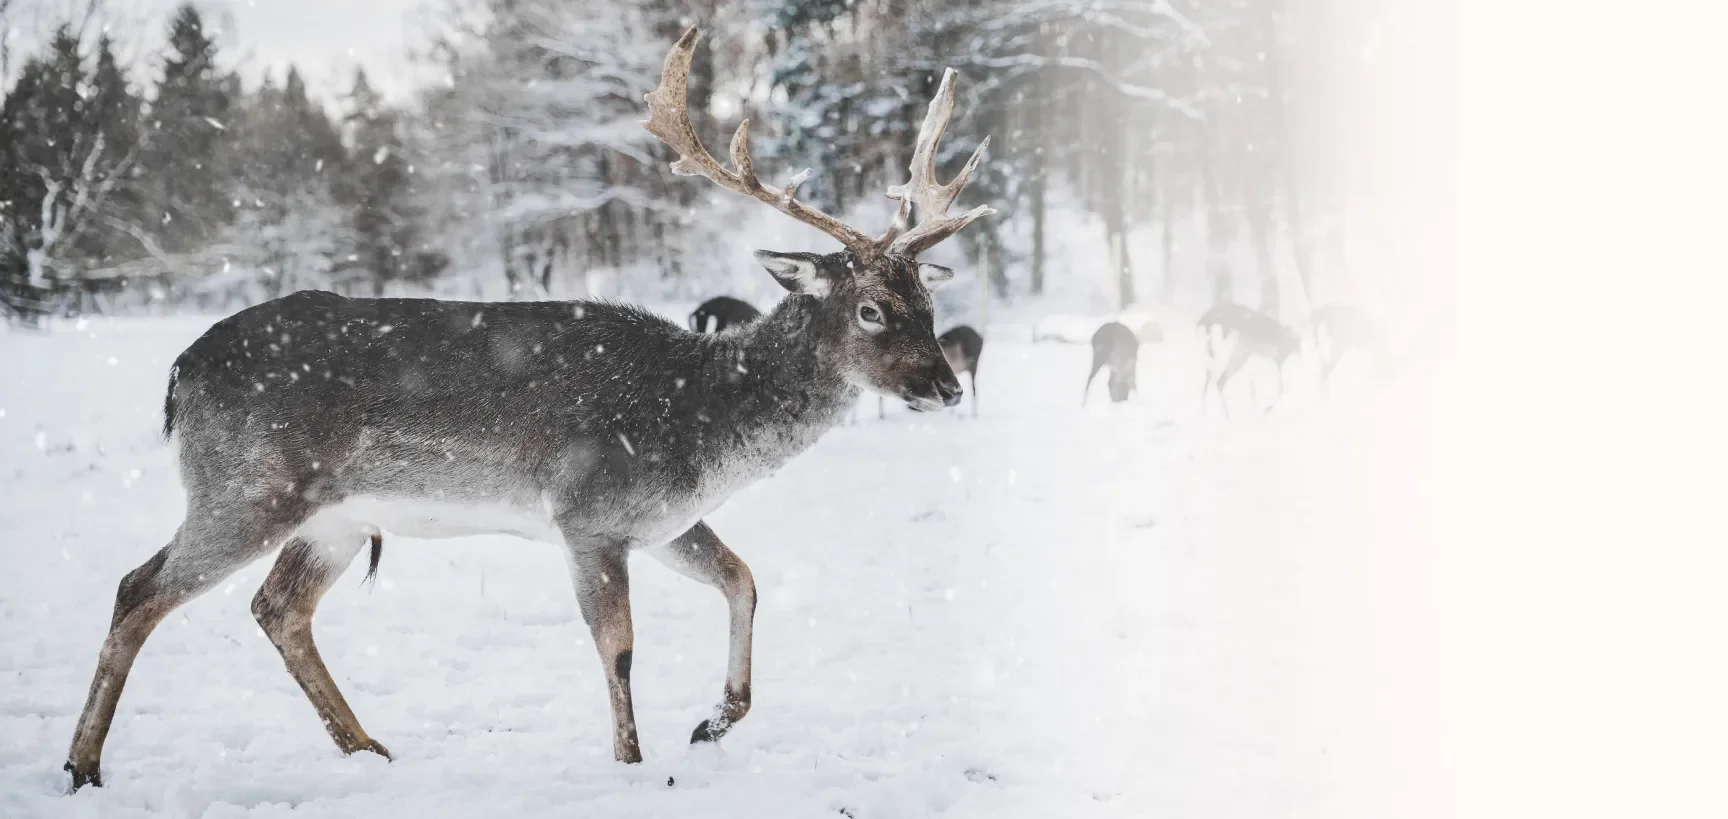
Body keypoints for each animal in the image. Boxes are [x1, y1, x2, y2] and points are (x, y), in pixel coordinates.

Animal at [62, 26, 993, 790]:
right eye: (870, 308)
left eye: (927, 299)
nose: (945, 386)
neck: (702, 425)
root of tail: (180, 372)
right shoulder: (589, 511)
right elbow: (619, 647)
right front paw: (633, 762)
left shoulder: (662, 519)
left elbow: (744, 579)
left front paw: (712, 721)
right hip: (247, 485)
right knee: (139, 587)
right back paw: (84, 765)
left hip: (332, 516)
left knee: (277, 607)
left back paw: (369, 749)